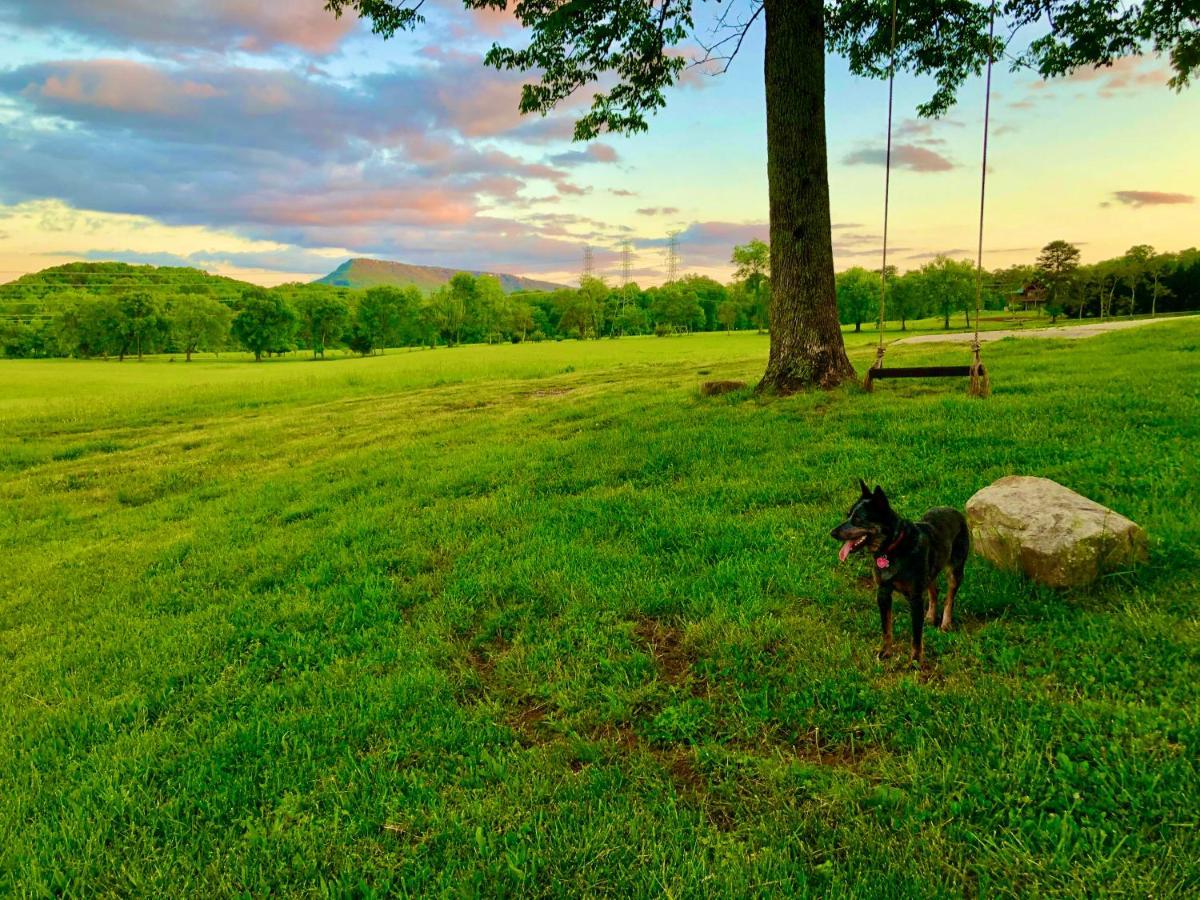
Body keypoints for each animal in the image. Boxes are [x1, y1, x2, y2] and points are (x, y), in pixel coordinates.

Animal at [835, 480, 974, 662]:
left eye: (858, 519)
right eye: (848, 515)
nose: (832, 533)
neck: (892, 548)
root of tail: (955, 511)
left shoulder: (915, 597)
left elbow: (916, 633)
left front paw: (915, 659)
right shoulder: (883, 593)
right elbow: (886, 628)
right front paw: (885, 652)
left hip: (955, 570)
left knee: (949, 597)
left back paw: (945, 623)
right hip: (930, 571)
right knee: (934, 590)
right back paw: (930, 616)